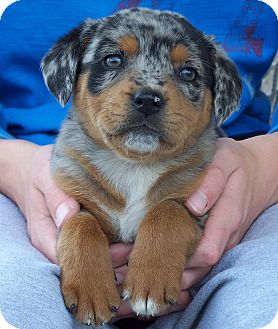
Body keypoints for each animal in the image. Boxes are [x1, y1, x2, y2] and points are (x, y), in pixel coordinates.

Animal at [40, 7, 241, 326]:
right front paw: (90, 291)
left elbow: (167, 212)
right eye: (113, 59)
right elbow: (79, 223)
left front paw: (149, 284)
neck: (133, 165)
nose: (148, 99)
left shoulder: (199, 206)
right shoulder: (70, 195)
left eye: (188, 72)